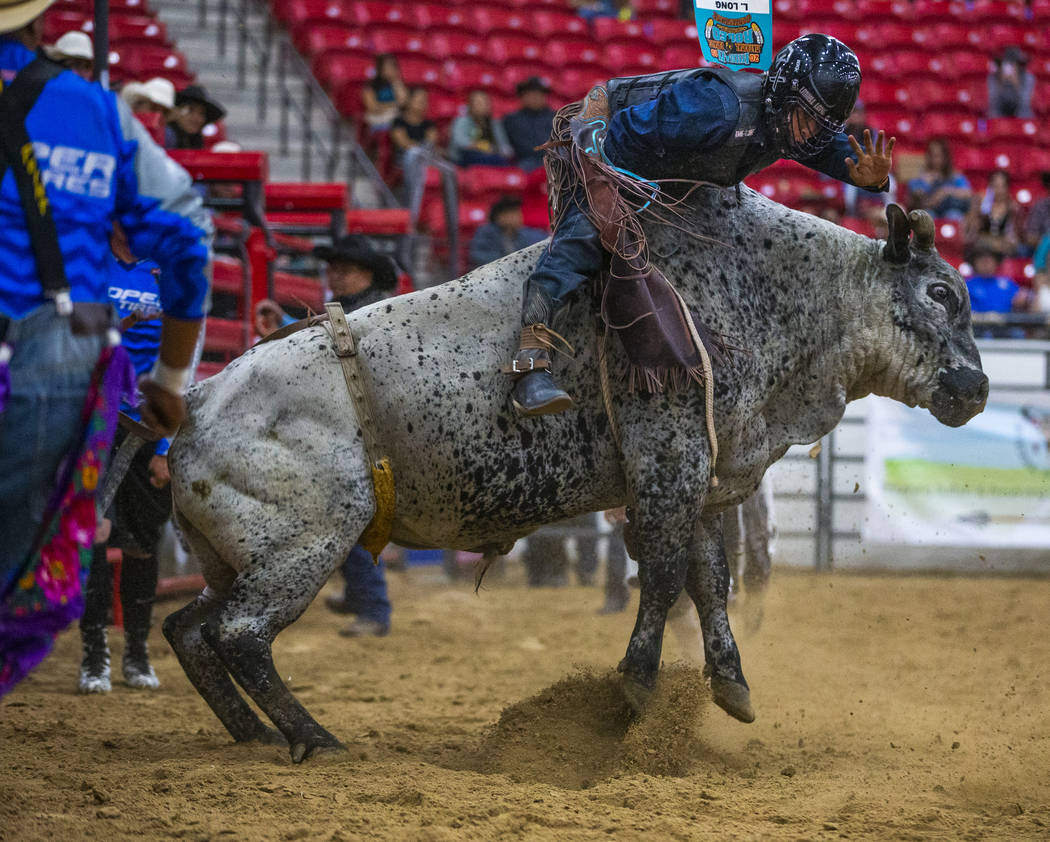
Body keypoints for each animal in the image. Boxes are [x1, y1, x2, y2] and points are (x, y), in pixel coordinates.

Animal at [163, 190, 982, 760]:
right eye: (942, 293)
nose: (975, 387)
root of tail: (199, 401)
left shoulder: (701, 474)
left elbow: (709, 579)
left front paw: (732, 686)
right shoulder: (669, 458)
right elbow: (663, 575)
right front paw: (637, 686)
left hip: (235, 553)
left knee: (188, 628)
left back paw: (255, 734)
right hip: (307, 541)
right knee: (240, 633)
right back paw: (314, 737)